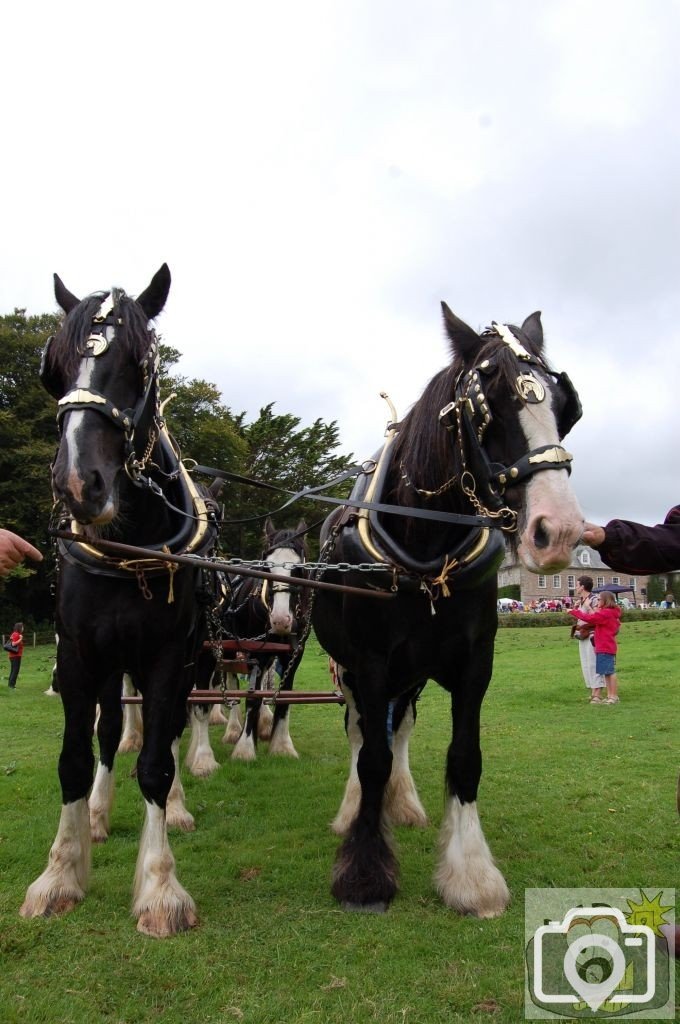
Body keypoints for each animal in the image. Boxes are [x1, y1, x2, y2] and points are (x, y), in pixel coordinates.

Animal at [21, 266, 219, 937]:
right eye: (52, 370)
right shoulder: (80, 656)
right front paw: (61, 872)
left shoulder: (167, 658)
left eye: (141, 363)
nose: (78, 485)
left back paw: (176, 807)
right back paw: (100, 813)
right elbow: (77, 758)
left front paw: (159, 886)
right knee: (110, 735)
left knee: (173, 732)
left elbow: (157, 761)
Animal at [313, 301, 585, 913]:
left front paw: (471, 875)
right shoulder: (369, 662)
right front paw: (363, 873)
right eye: (489, 403)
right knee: (361, 732)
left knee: (401, 728)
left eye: (565, 406)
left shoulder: (474, 663)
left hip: (411, 674)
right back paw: (352, 810)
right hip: (352, 669)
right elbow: (371, 757)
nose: (557, 532)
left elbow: (463, 757)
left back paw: (402, 803)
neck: (425, 549)